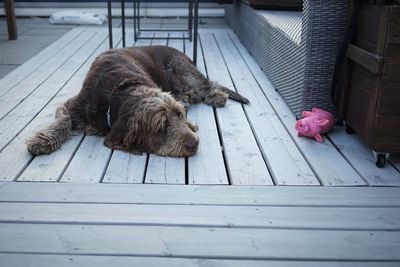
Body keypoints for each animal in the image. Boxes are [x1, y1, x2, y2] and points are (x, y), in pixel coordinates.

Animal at [26, 46, 248, 158]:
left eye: (179, 116)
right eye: (161, 126)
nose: (195, 143)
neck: (119, 91)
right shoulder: (72, 105)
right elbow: (62, 120)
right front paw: (42, 140)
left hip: (179, 68)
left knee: (206, 85)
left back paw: (216, 97)